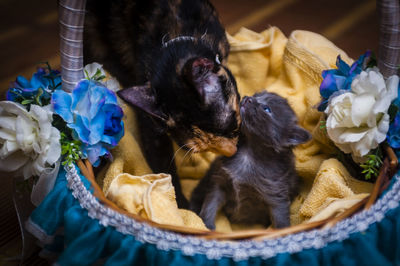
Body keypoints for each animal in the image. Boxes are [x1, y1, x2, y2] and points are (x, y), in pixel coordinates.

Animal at [189, 91, 310, 229]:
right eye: (256, 95)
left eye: (266, 109)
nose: (248, 98)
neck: (248, 152)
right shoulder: (219, 183)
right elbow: (210, 205)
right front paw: (206, 225)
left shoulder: (276, 197)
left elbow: (281, 220)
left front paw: (282, 231)